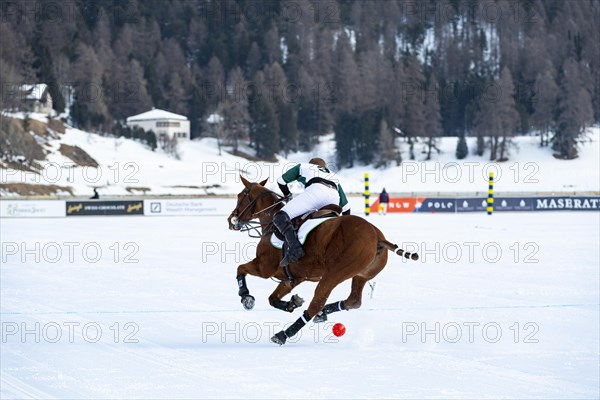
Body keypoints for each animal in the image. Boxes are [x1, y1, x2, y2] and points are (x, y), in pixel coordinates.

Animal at [225, 177, 418, 346]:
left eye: (240, 196)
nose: (231, 220)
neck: (270, 223)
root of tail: (378, 236)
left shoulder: (265, 267)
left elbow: (240, 269)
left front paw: (246, 297)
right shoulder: (292, 278)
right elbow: (272, 298)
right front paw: (292, 303)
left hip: (334, 274)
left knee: (316, 304)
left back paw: (284, 334)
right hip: (361, 274)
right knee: (353, 300)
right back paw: (322, 313)